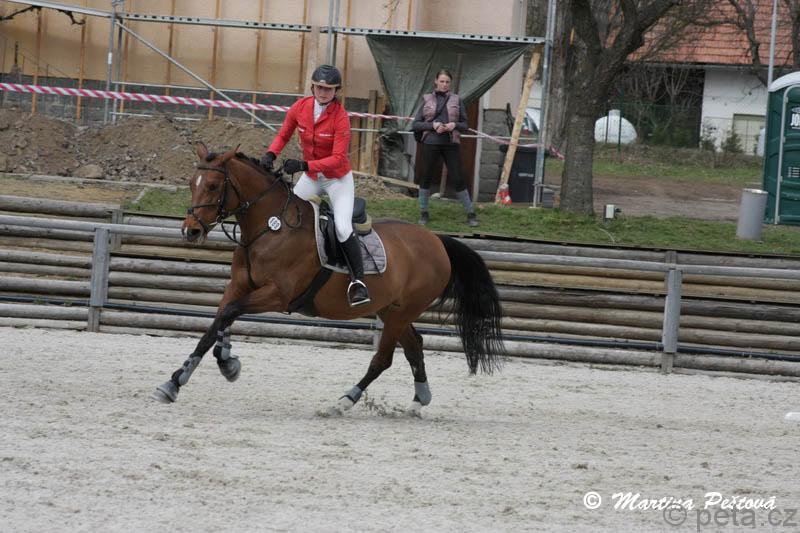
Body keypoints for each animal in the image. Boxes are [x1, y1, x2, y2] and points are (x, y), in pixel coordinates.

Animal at [152, 142, 505, 415]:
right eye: (192, 183)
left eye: (213, 186)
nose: (190, 231)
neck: (268, 226)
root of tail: (436, 241)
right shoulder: (240, 286)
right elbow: (217, 323)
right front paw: (181, 379)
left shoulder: (277, 295)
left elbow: (228, 314)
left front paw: (221, 366)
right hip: (391, 310)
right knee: (414, 347)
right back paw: (419, 401)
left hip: (401, 312)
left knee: (383, 358)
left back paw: (344, 401)